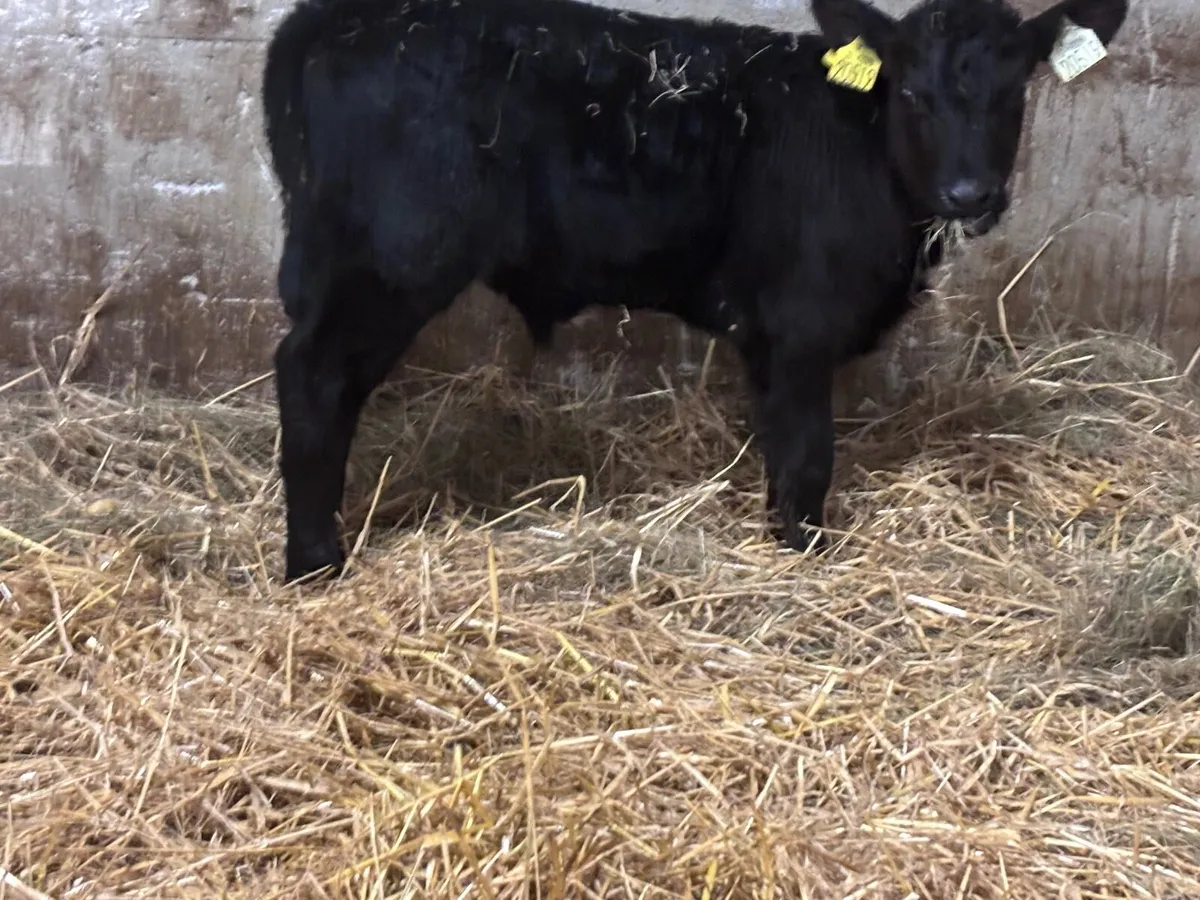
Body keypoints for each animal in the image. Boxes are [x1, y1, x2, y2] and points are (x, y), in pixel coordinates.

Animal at [261, 0, 1128, 583]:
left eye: (1014, 94)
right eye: (913, 93)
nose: (970, 193)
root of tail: (327, 20)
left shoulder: (767, 336)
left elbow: (780, 447)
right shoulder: (802, 321)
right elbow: (808, 454)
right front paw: (807, 553)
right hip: (394, 260)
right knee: (314, 377)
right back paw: (316, 563)